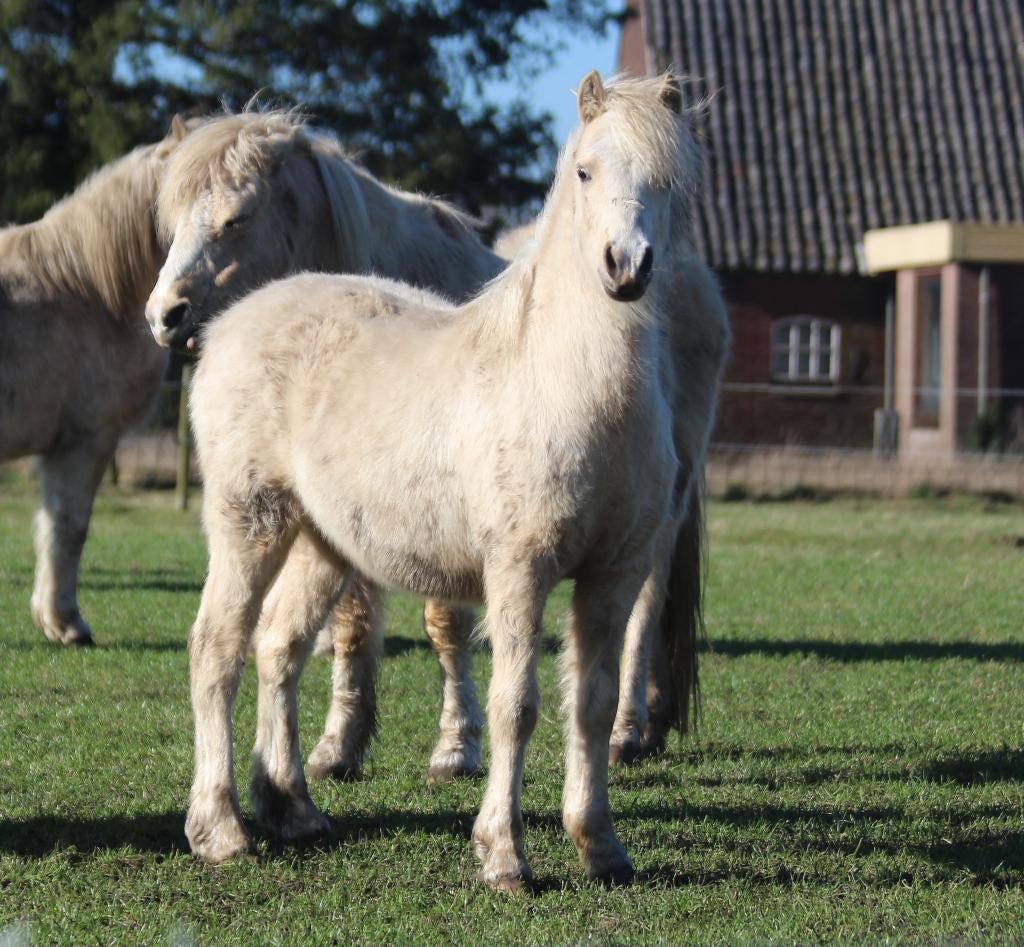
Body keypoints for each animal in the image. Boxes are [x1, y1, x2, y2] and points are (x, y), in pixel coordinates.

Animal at [0, 118, 189, 646]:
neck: (84, 286)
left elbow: (52, 528)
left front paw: (51, 619)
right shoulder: (86, 441)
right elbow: (69, 528)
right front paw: (67, 623)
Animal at [182, 71, 728, 888]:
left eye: (669, 182)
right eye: (584, 171)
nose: (625, 267)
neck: (566, 382)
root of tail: (226, 327)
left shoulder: (613, 573)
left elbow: (591, 704)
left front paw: (599, 844)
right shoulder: (518, 570)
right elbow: (515, 704)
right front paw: (503, 854)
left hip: (322, 541)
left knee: (279, 647)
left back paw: (294, 808)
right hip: (250, 522)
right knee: (217, 649)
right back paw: (220, 829)